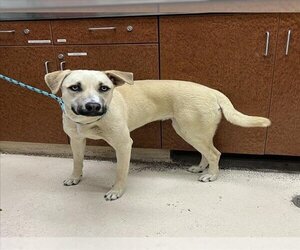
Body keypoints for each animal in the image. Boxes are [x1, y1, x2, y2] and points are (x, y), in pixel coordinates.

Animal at [45, 70, 272, 201]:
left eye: (104, 88)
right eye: (75, 87)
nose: (94, 106)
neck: (88, 122)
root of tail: (212, 91)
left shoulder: (123, 145)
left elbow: (120, 172)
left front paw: (116, 191)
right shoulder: (76, 141)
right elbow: (77, 162)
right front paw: (75, 178)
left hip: (191, 131)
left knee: (215, 153)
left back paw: (211, 175)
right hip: (189, 131)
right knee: (206, 153)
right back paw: (200, 167)